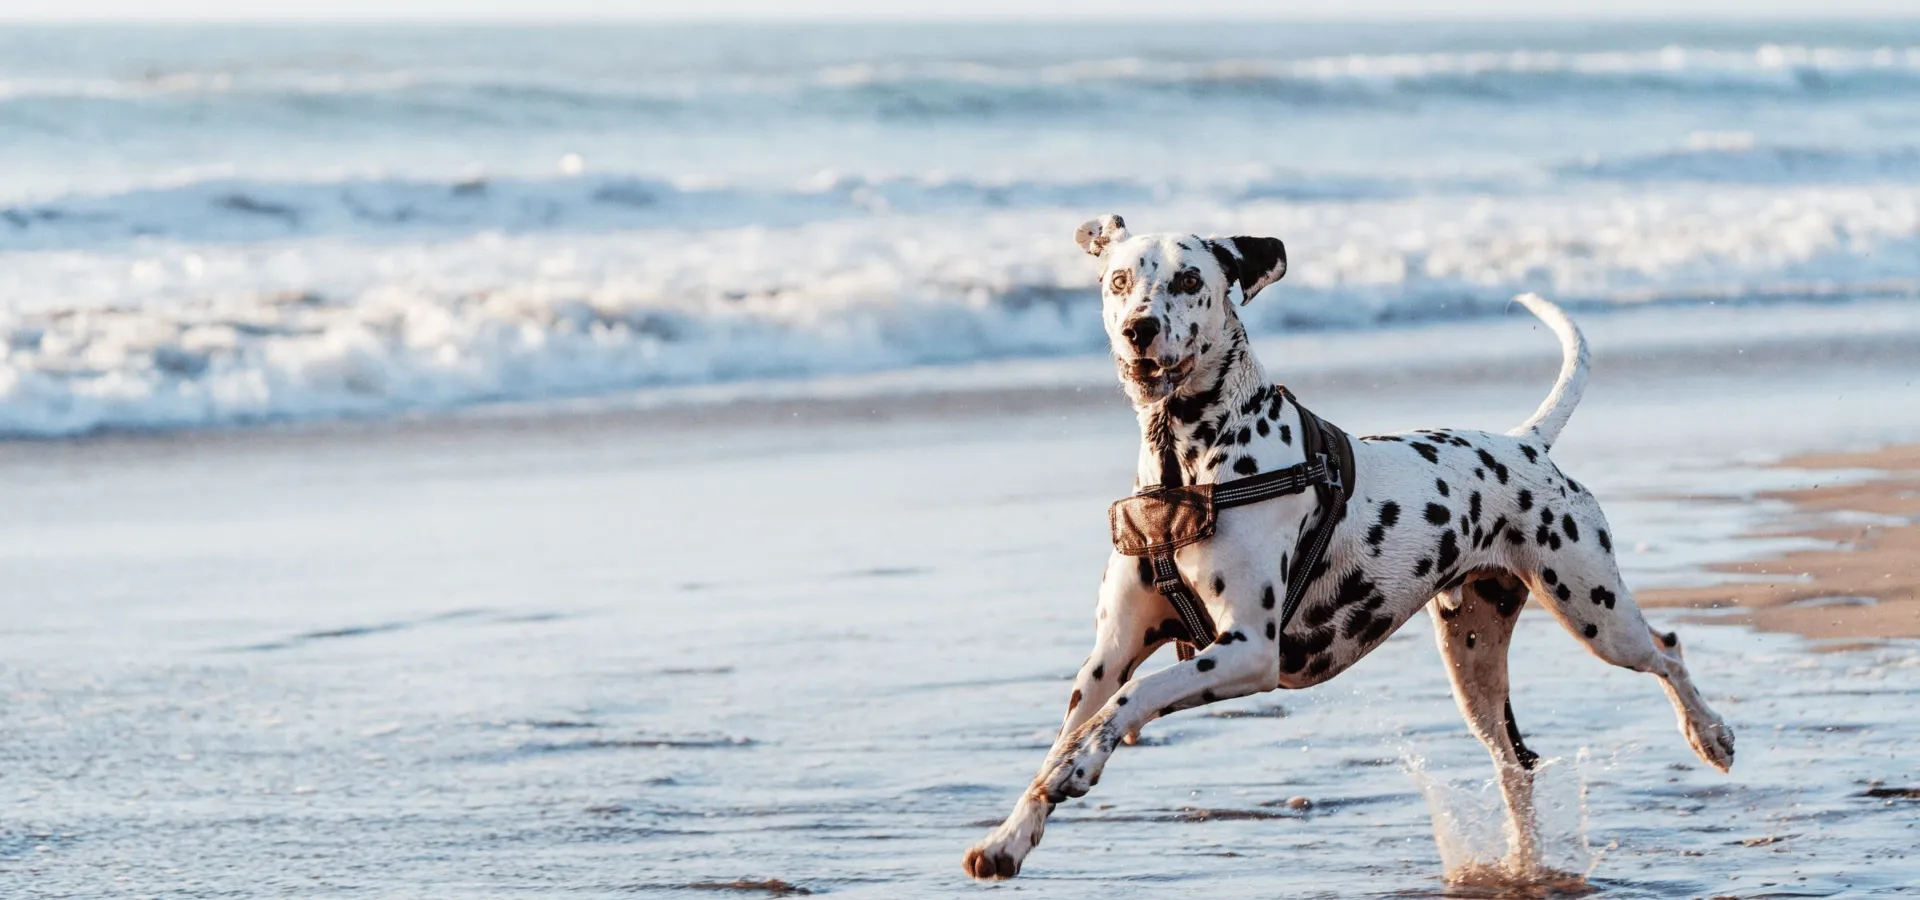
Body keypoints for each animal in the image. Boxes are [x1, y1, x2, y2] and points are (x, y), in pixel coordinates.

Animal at [967, 215, 1735, 878]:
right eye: (1120, 280)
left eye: (1188, 280)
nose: (1139, 329)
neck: (1186, 466)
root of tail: (1526, 443)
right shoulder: (1108, 654)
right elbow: (1077, 722)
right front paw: (1011, 836)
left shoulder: (1248, 651)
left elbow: (1136, 695)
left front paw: (1081, 766)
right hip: (1475, 661)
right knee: (1514, 761)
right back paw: (1522, 863)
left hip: (1594, 611)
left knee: (1667, 650)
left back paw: (1710, 734)